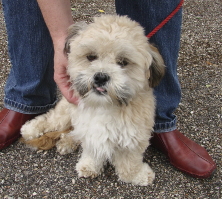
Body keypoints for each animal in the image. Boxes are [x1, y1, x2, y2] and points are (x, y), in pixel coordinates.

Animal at [21, 14, 165, 186]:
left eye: (123, 62)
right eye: (91, 57)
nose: (101, 77)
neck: (104, 106)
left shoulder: (133, 138)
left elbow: (129, 164)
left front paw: (136, 175)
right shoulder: (90, 130)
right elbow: (92, 151)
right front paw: (89, 165)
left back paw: (67, 141)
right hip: (65, 112)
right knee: (50, 120)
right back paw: (30, 129)